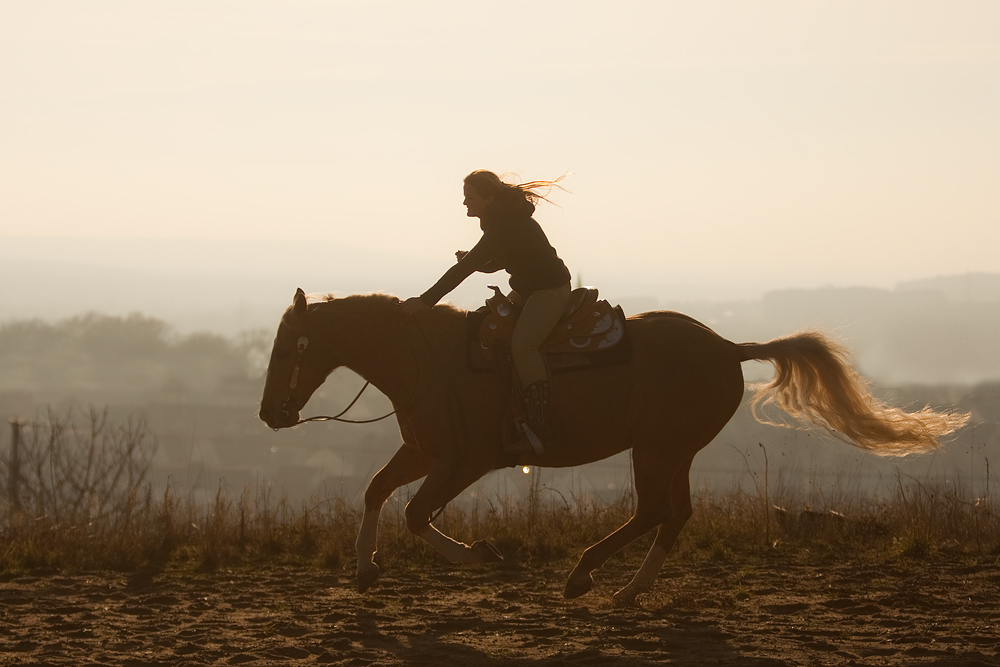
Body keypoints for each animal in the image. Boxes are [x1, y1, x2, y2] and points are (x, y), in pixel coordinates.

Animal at [258, 290, 968, 604]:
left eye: (288, 347)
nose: (270, 414)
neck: (428, 361)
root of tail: (727, 347)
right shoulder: (426, 453)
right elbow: (377, 491)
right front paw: (364, 569)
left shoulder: (465, 461)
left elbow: (413, 513)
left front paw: (483, 556)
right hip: (672, 451)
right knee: (674, 514)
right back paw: (628, 587)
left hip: (655, 449)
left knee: (654, 510)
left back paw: (584, 575)